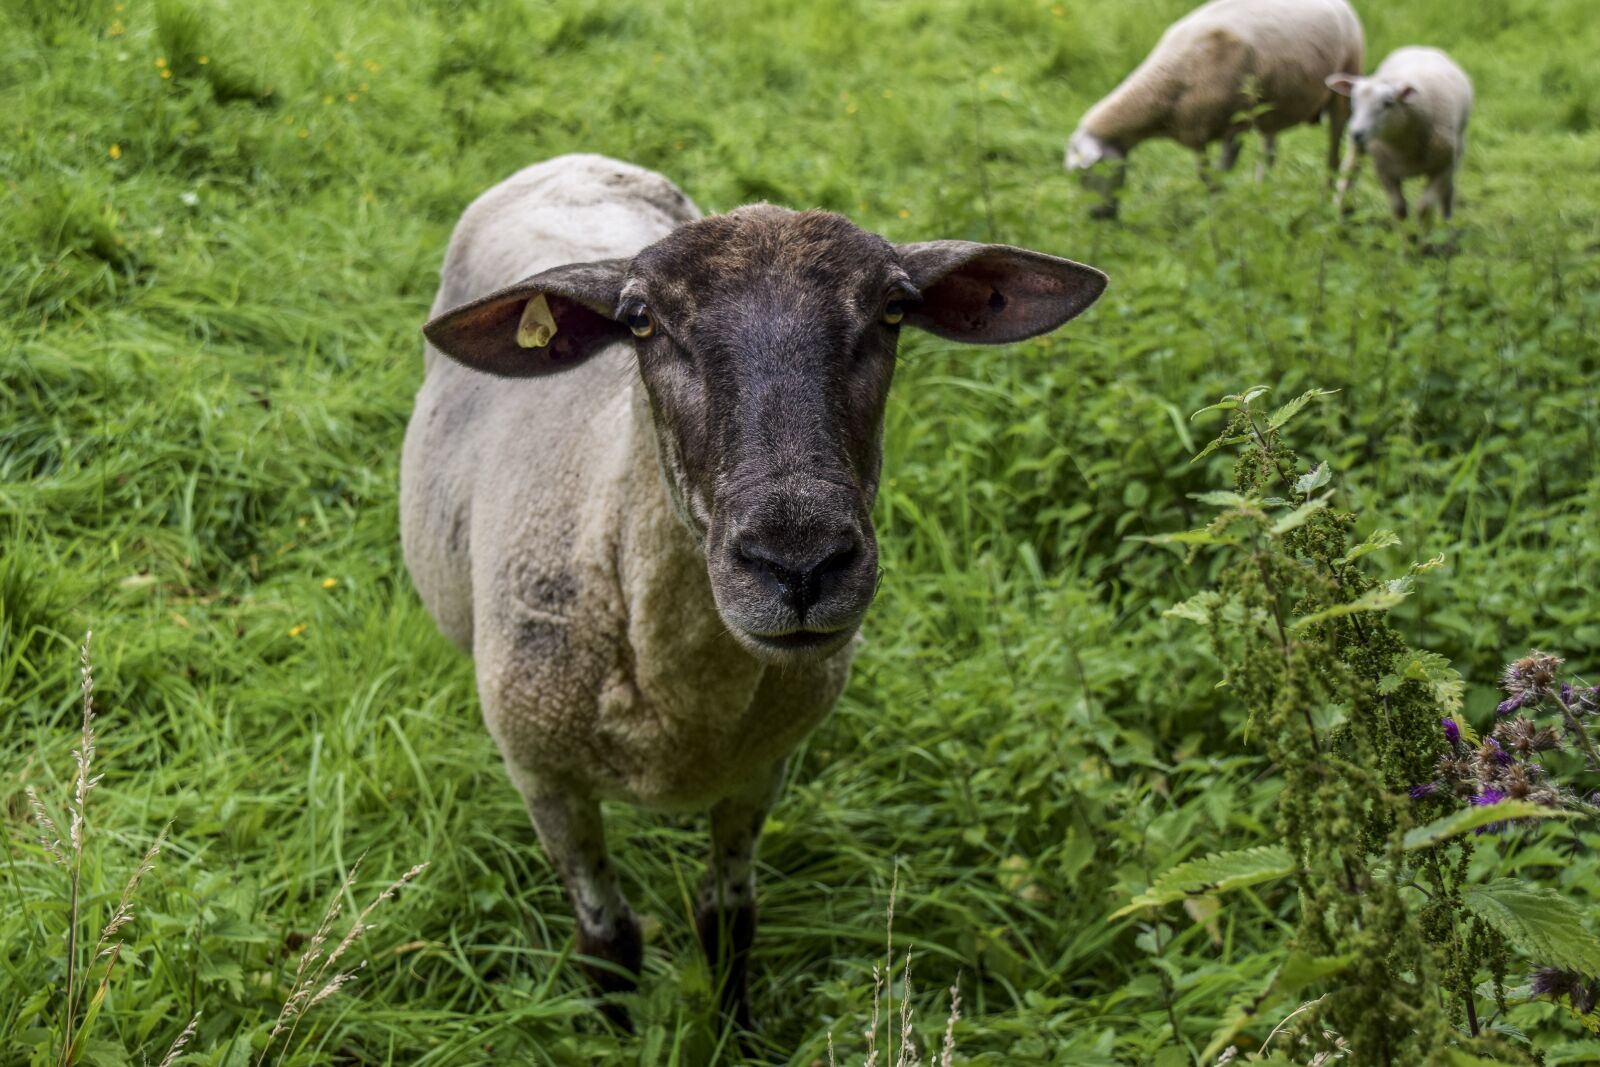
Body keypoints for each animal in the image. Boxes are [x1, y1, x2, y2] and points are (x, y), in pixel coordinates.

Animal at [400, 153, 1107, 1030]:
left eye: (895, 309)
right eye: (640, 320)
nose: (798, 561)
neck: (683, 703)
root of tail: (576, 162)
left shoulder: (759, 765)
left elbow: (727, 916)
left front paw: (732, 1028)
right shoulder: (544, 776)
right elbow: (608, 938)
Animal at [1064, 0, 1365, 218]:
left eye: (1087, 173)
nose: (1095, 215)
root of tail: (1341, 4)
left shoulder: (1233, 126)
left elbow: (1219, 176)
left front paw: (1220, 214)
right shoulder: (1195, 130)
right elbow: (1206, 176)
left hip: (1343, 87)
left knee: (1334, 154)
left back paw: (1329, 200)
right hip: (1272, 108)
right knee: (1268, 154)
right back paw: (1262, 195)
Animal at [1327, 47, 1474, 223]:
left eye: (1388, 103)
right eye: (1353, 100)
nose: (1355, 133)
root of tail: (1421, 47)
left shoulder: (1442, 169)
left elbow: (1423, 209)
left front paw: (1423, 230)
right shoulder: (1385, 172)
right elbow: (1400, 210)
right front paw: (1405, 231)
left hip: (1456, 150)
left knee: (1448, 190)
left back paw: (1446, 221)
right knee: (1348, 173)